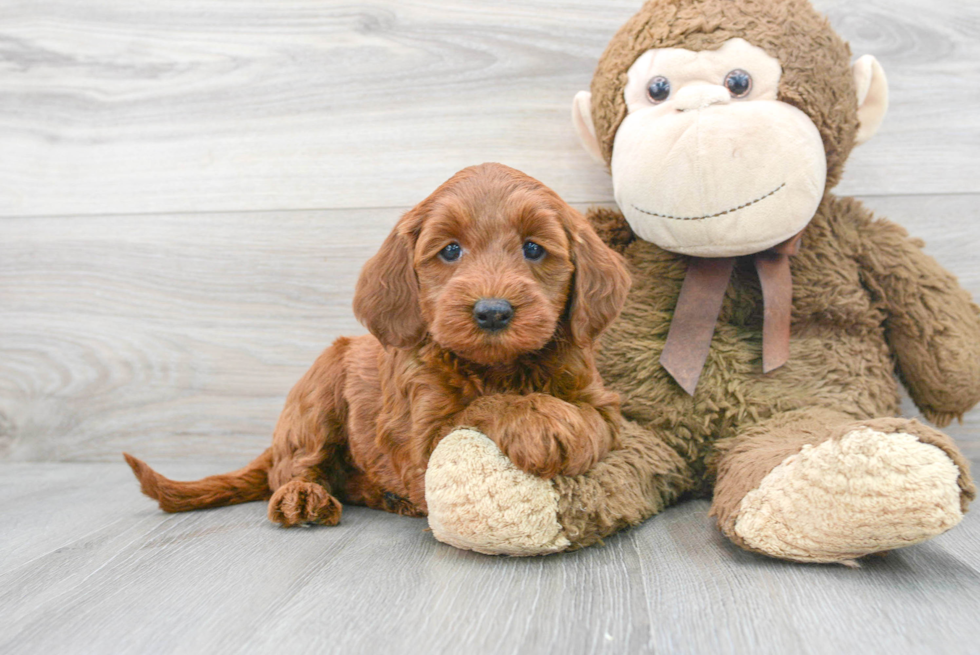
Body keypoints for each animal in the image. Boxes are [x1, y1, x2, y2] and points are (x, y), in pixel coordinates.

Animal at [124, 164, 628, 528]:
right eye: (450, 250)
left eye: (533, 248)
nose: (492, 312)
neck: (498, 367)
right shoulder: (420, 434)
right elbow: (481, 407)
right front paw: (541, 418)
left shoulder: (596, 397)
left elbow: (595, 421)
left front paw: (565, 423)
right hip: (319, 391)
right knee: (292, 467)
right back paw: (302, 497)